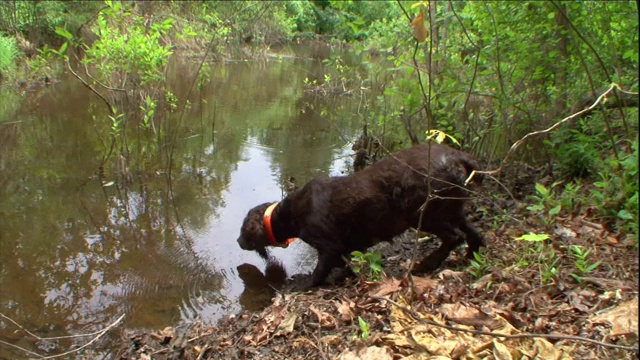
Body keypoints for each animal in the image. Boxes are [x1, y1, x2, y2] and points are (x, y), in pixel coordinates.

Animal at [238, 142, 482, 288]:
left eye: (242, 229)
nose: (238, 241)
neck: (291, 212)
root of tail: (455, 155)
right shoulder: (354, 243)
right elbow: (349, 262)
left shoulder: (329, 244)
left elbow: (320, 270)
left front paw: (304, 284)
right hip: (454, 209)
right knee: (475, 233)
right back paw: (471, 256)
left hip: (425, 214)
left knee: (454, 237)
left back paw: (426, 264)